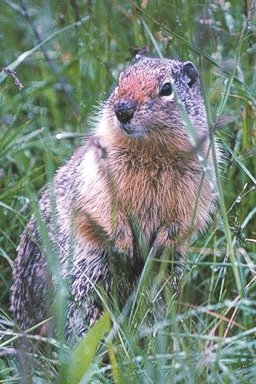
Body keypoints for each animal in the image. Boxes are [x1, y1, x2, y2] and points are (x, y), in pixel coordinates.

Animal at [10, 55, 218, 338]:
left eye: (167, 88)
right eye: (121, 80)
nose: (122, 110)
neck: (150, 153)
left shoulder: (199, 178)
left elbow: (187, 218)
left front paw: (158, 245)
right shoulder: (96, 174)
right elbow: (102, 207)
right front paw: (125, 246)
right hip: (84, 278)